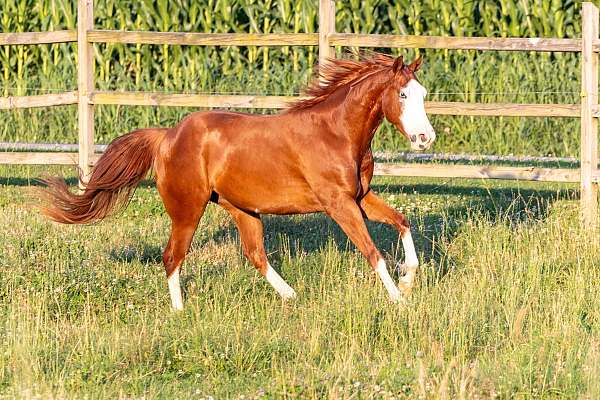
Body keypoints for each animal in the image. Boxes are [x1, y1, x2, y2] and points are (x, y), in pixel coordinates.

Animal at [39, 53, 438, 310]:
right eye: (402, 94)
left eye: (423, 94)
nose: (425, 138)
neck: (336, 133)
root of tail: (167, 136)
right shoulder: (338, 203)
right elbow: (372, 252)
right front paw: (399, 300)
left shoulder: (361, 196)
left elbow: (403, 222)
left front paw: (408, 278)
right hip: (187, 211)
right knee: (172, 256)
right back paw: (180, 311)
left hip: (242, 208)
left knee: (255, 255)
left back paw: (292, 297)